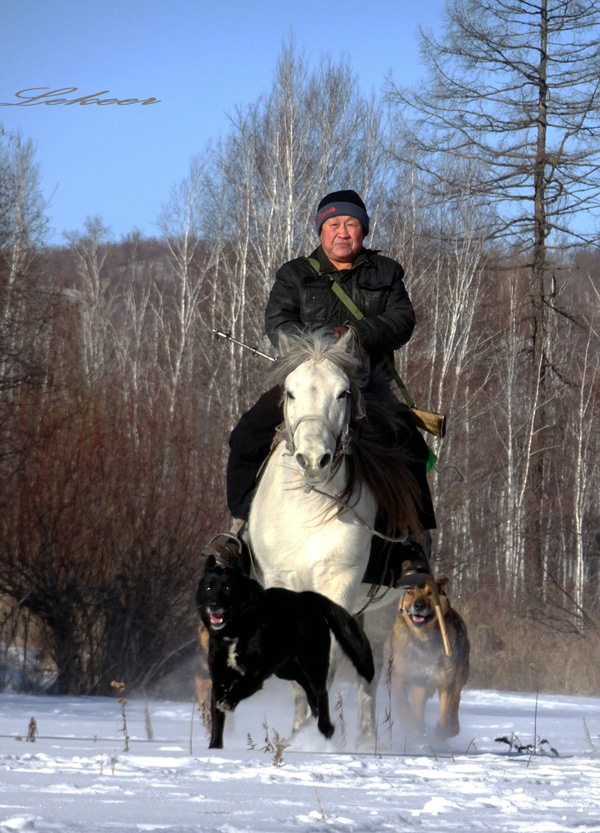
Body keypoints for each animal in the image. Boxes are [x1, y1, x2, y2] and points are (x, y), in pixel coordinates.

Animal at [197, 556, 372, 744]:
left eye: (228, 587)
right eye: (208, 587)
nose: (213, 605)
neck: (236, 630)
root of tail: (306, 597)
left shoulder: (256, 673)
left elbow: (240, 686)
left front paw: (229, 702)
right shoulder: (219, 680)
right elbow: (217, 725)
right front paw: (214, 747)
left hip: (313, 663)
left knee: (321, 691)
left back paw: (325, 727)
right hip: (285, 669)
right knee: (307, 685)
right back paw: (314, 712)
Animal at [246, 330, 420, 748]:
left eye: (343, 393)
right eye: (290, 392)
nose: (313, 460)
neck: (308, 506)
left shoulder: (337, 583)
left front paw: (316, 735)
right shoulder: (282, 583)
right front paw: (300, 734)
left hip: (380, 609)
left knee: (370, 665)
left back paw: (366, 740)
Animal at [392, 580, 472, 740]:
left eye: (429, 593)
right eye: (410, 592)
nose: (419, 605)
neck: (424, 640)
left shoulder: (447, 683)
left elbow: (445, 715)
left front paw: (439, 735)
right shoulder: (406, 680)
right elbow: (406, 709)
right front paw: (416, 733)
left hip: (460, 674)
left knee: (456, 700)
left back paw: (452, 728)